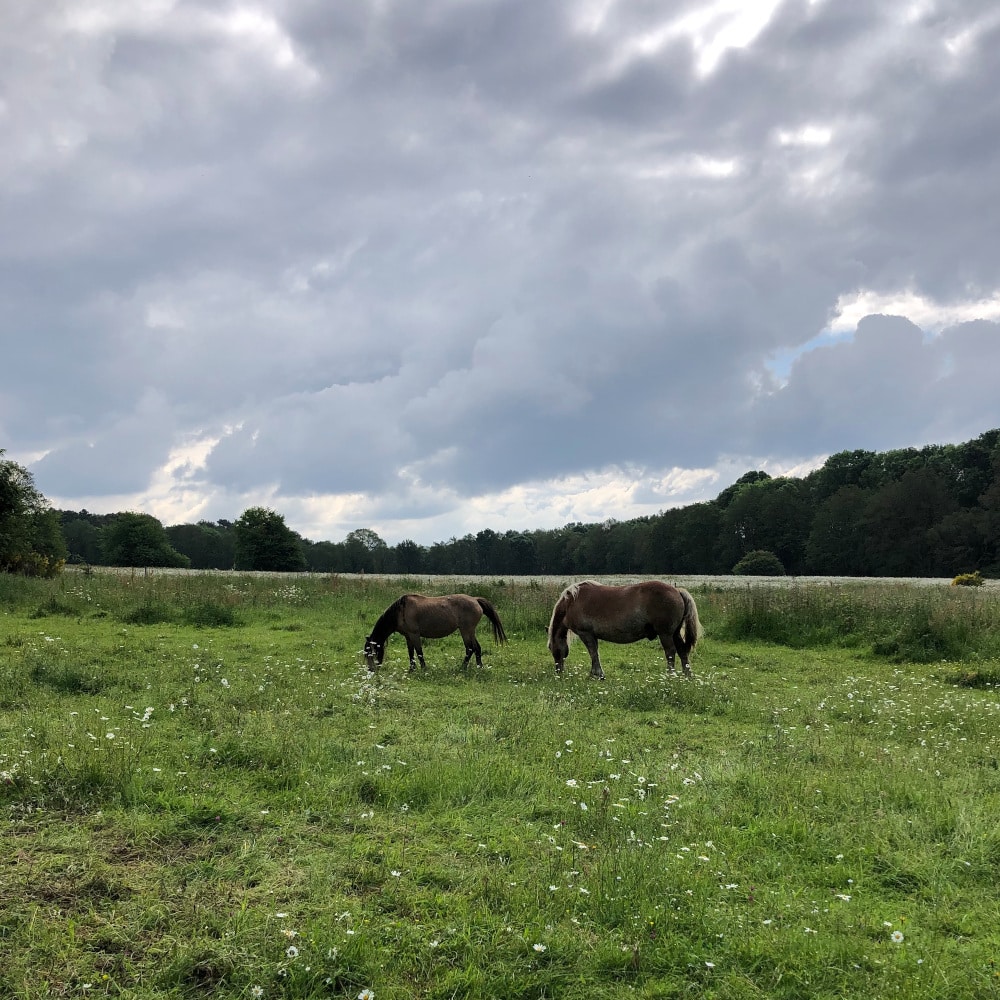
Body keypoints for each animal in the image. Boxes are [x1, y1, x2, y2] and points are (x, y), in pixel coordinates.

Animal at [364, 592, 508, 672]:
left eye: (371, 652)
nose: (371, 670)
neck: (401, 611)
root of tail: (475, 600)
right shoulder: (408, 636)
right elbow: (411, 653)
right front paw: (411, 669)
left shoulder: (415, 634)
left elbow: (419, 652)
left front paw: (423, 669)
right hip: (469, 631)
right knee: (477, 648)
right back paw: (479, 667)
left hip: (466, 631)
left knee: (471, 648)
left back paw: (463, 668)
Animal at [548, 580, 704, 680]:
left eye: (551, 648)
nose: (558, 671)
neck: (571, 602)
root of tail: (676, 590)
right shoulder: (592, 636)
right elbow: (595, 653)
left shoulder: (586, 634)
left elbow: (593, 653)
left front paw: (596, 674)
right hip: (675, 633)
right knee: (682, 651)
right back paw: (687, 675)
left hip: (665, 634)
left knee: (670, 652)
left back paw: (670, 675)